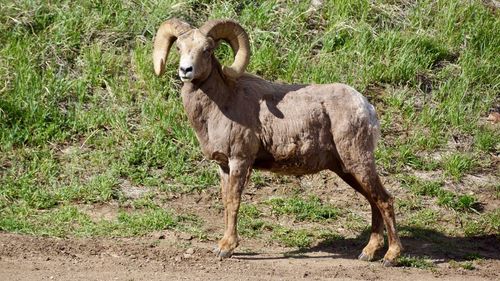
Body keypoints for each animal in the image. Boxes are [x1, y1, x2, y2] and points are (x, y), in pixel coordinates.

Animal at [152, 18, 402, 264]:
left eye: (207, 50)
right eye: (179, 47)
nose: (186, 70)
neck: (221, 103)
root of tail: (367, 107)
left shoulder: (240, 161)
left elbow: (234, 201)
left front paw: (227, 248)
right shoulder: (224, 166)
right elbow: (225, 202)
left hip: (359, 162)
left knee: (384, 200)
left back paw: (390, 256)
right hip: (346, 170)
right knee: (373, 201)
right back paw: (368, 252)